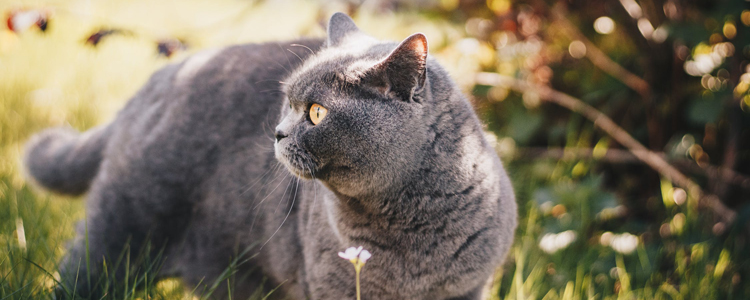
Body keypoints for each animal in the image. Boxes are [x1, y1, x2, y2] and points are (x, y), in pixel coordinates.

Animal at [23, 12, 516, 298]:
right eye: (287, 103)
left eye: (316, 112)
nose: (277, 133)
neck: (410, 222)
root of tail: (161, 78)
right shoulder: (332, 287)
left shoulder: (469, 288)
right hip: (118, 232)